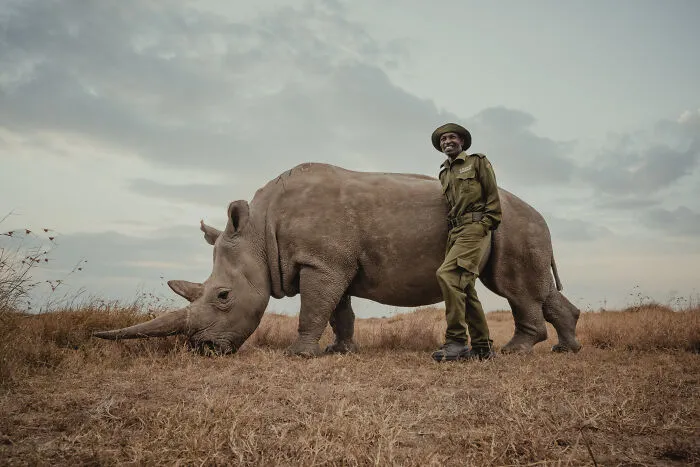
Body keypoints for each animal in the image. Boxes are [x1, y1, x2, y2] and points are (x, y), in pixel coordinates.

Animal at [94, 162, 582, 356]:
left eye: (223, 296)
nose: (203, 351)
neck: (258, 233)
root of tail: (538, 213)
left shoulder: (322, 262)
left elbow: (313, 308)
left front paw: (299, 356)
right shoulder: (330, 263)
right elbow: (338, 311)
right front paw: (339, 351)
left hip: (511, 225)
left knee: (514, 287)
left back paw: (516, 352)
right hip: (520, 227)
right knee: (533, 288)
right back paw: (565, 349)